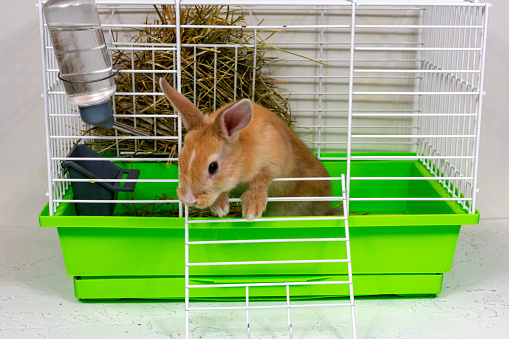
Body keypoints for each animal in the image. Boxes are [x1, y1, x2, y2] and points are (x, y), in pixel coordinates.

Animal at [159, 77, 338, 220]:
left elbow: (260, 180)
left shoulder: (273, 161)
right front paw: (220, 207)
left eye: (213, 167)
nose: (189, 199)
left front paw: (252, 209)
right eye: (181, 159)